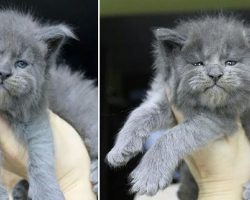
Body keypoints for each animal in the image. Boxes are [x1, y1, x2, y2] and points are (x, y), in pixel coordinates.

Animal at [107, 15, 250, 198]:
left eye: (230, 62)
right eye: (198, 63)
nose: (215, 74)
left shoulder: (221, 118)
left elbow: (174, 135)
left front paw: (149, 175)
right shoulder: (169, 99)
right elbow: (140, 113)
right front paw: (120, 148)